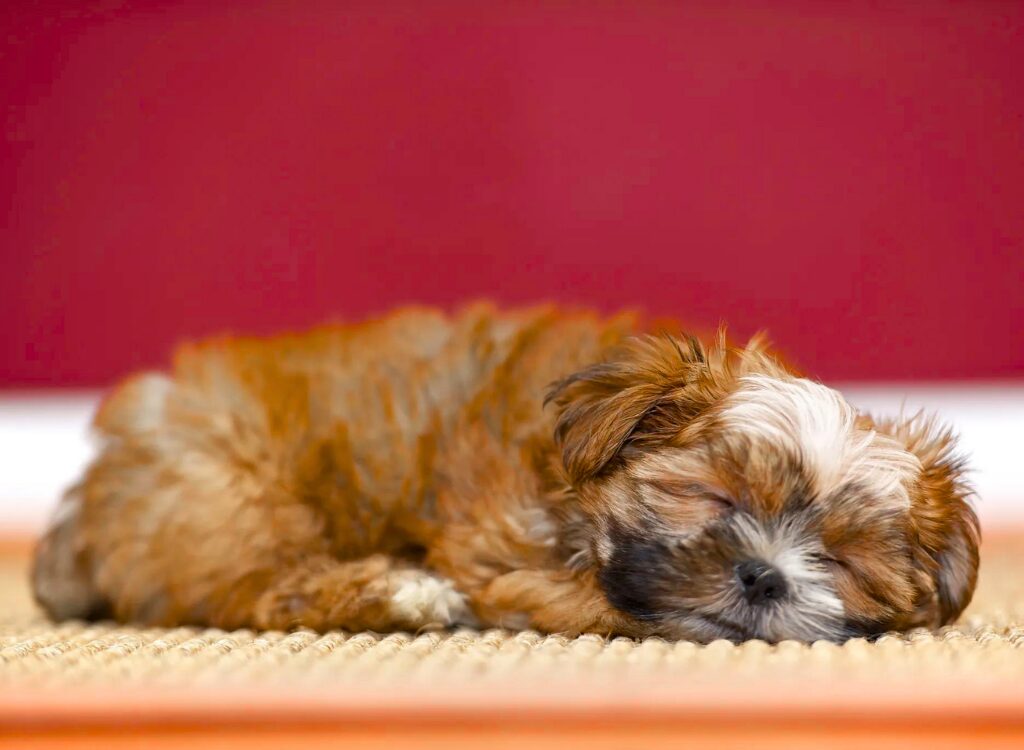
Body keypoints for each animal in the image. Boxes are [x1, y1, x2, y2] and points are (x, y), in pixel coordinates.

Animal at [29, 305, 974, 643]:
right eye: (714, 497)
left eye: (841, 560)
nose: (764, 577)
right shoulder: (502, 557)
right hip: (236, 500)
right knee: (261, 590)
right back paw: (398, 596)